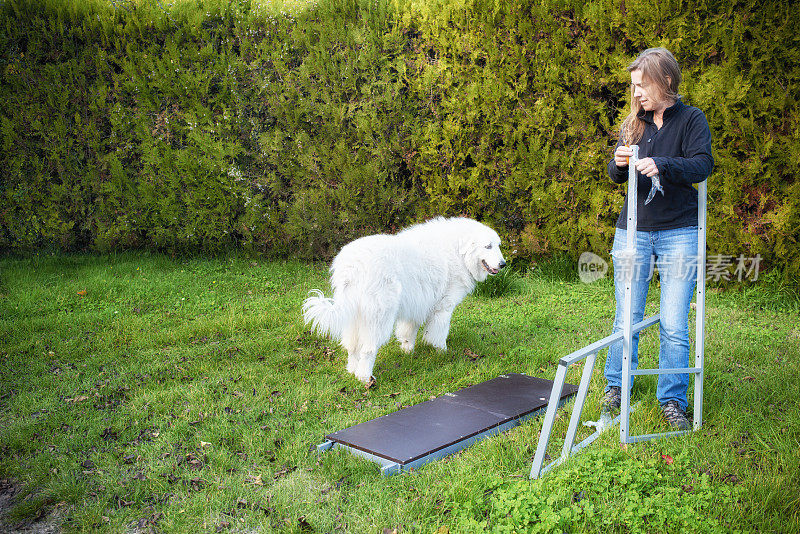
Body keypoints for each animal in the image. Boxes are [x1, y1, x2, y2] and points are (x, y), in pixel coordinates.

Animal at [304, 218, 504, 386]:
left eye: (498, 246)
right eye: (488, 246)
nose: (503, 264)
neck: (458, 252)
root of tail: (353, 266)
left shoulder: (416, 305)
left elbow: (408, 333)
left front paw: (408, 353)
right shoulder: (443, 308)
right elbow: (439, 334)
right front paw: (443, 353)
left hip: (354, 315)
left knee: (352, 346)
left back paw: (352, 372)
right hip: (379, 317)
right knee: (368, 349)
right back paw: (365, 378)